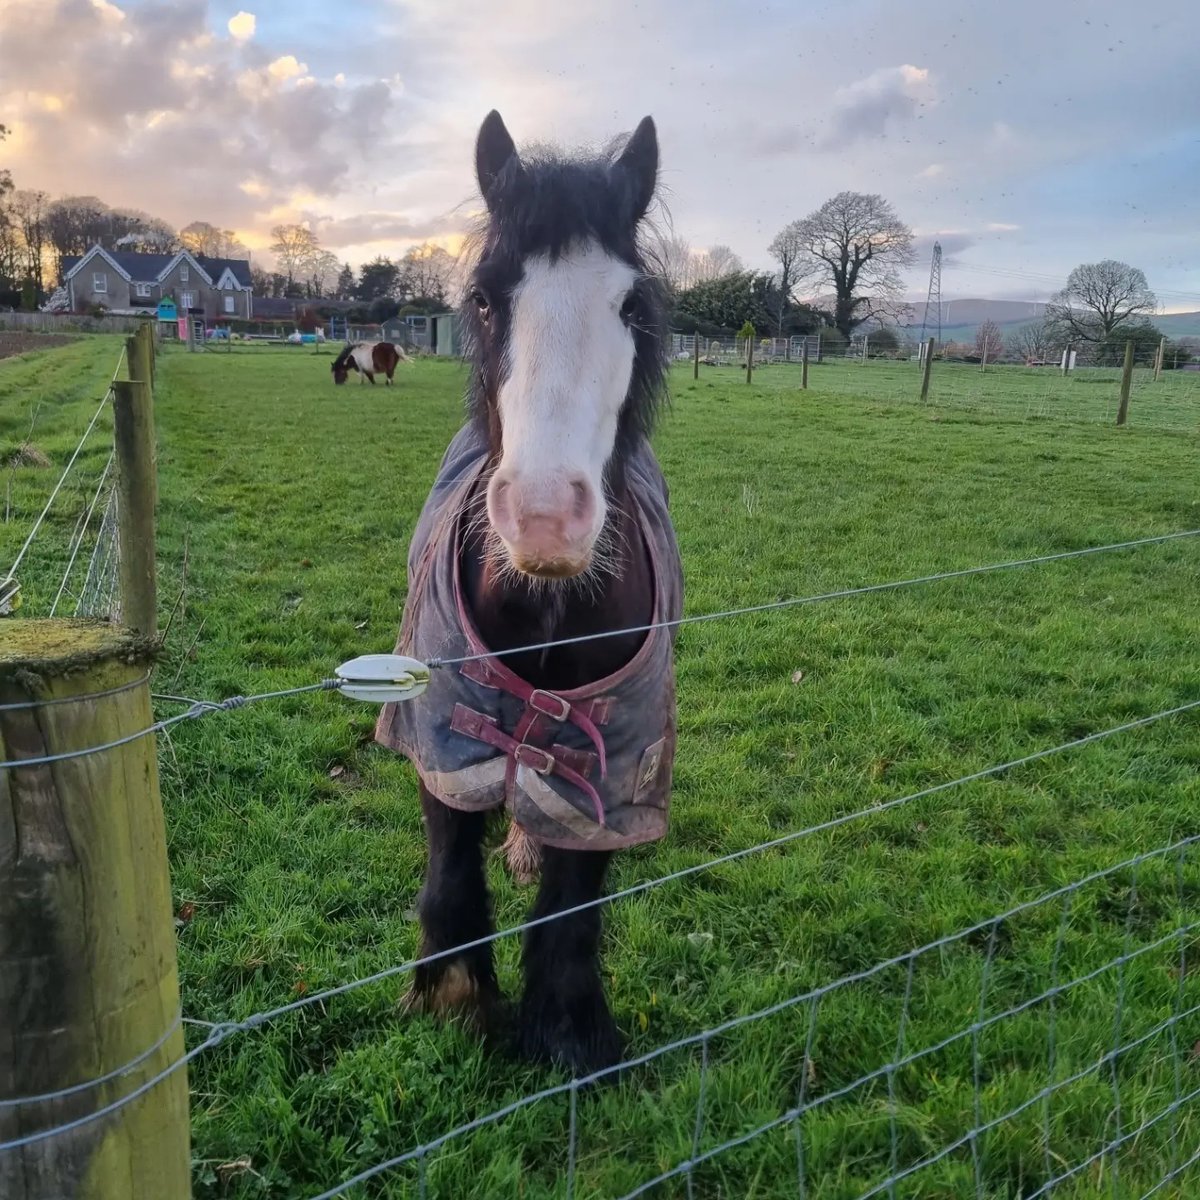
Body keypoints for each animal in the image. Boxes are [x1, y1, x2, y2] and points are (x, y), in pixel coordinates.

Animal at [374, 110, 681, 1070]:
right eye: (483, 299)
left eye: (632, 306)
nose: (544, 519)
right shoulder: (439, 722)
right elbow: (448, 859)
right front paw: (456, 999)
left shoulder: (612, 757)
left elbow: (577, 892)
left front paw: (568, 1031)